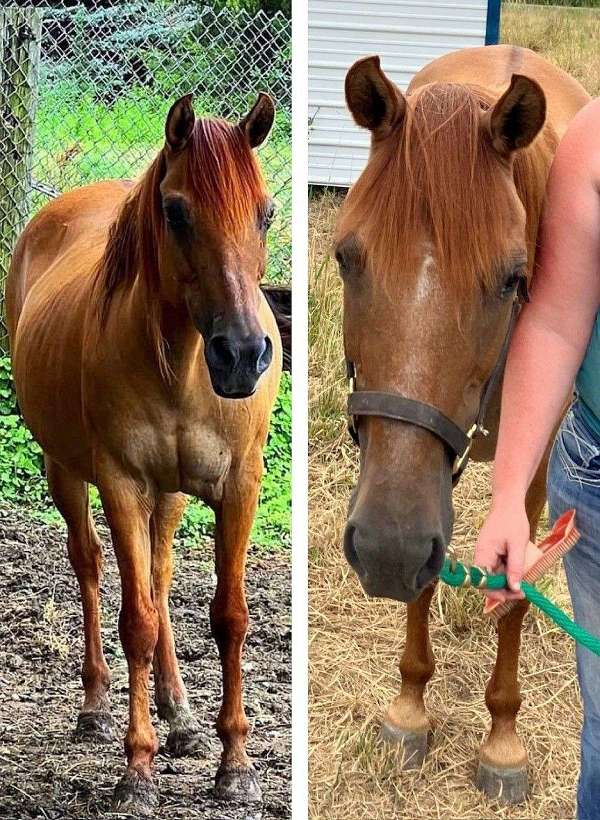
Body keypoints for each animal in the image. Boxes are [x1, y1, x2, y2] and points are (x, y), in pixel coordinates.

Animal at [4, 91, 284, 812]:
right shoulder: (122, 483)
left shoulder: (237, 486)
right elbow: (136, 621)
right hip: (68, 472)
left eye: (267, 212)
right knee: (93, 567)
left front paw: (235, 764)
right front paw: (137, 769)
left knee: (159, 578)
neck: (181, 366)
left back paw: (180, 713)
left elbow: (228, 616)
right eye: (176, 211)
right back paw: (98, 706)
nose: (243, 355)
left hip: (173, 493)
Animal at [338, 44, 592, 800]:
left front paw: (502, 740)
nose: (387, 548)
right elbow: (423, 583)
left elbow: (516, 588)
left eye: (513, 278)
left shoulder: (528, 475)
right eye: (345, 258)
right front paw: (410, 709)